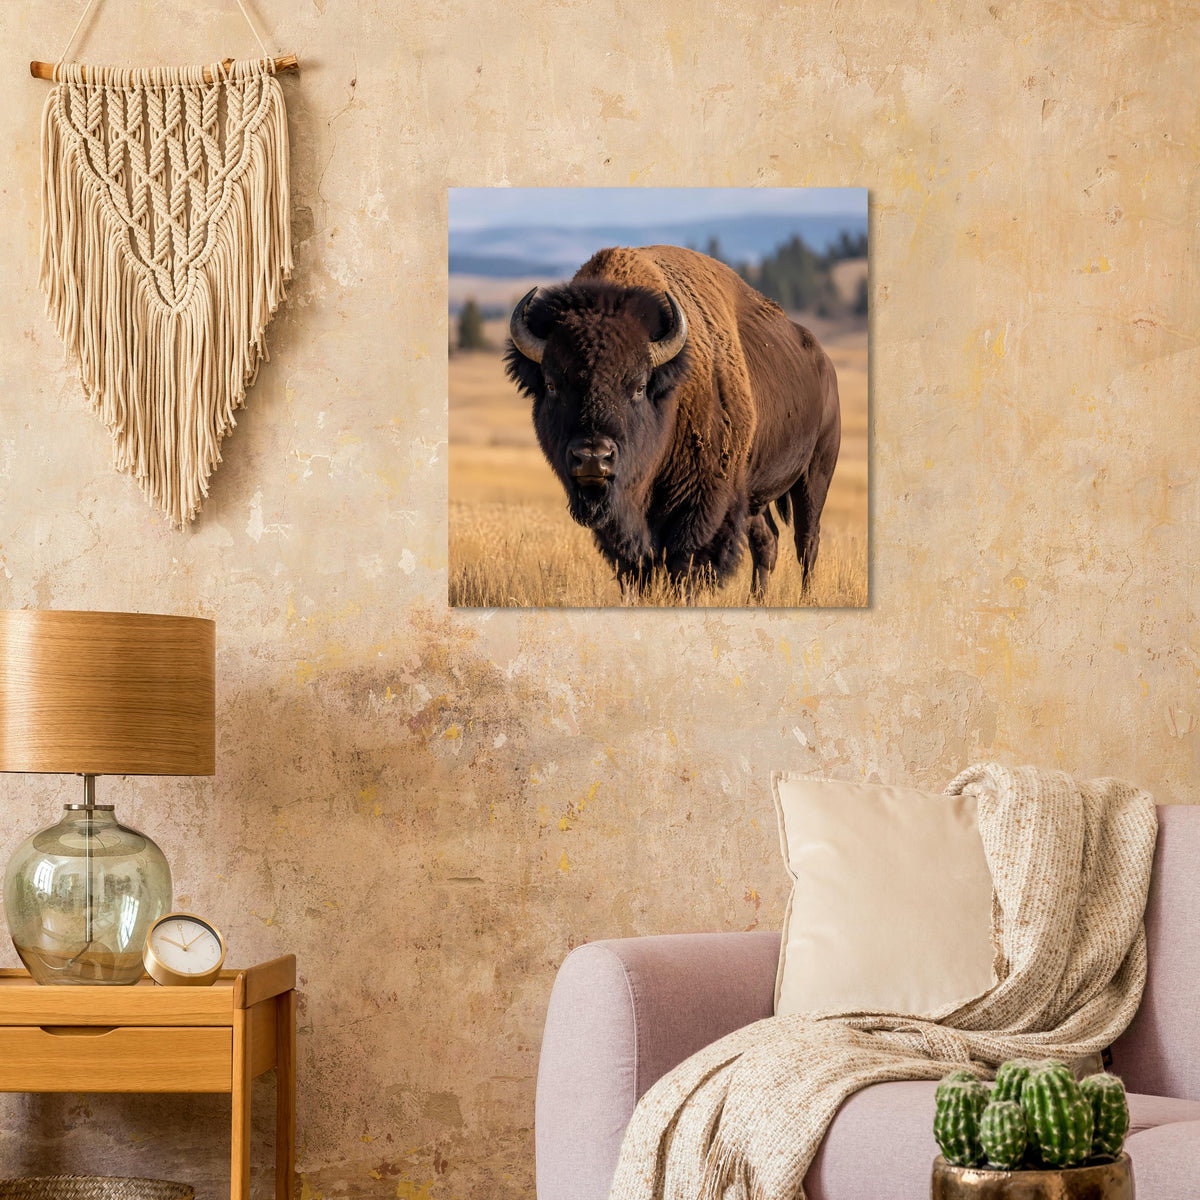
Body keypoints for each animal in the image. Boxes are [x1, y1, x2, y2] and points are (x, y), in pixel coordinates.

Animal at [505, 245, 841, 601]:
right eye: (552, 384)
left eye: (639, 386)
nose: (593, 458)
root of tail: (823, 361)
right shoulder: (622, 520)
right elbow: (635, 567)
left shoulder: (701, 504)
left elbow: (684, 565)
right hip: (754, 493)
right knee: (767, 540)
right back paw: (756, 599)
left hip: (815, 473)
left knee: (807, 541)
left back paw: (805, 597)